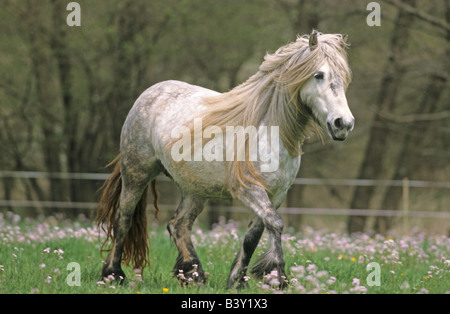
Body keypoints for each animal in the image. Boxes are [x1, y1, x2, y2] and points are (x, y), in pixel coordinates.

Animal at [96, 30, 356, 288]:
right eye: (319, 74)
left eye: (344, 77)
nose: (343, 124)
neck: (269, 129)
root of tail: (150, 92)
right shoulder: (250, 189)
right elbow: (275, 223)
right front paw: (277, 276)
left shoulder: (275, 195)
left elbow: (253, 236)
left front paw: (238, 281)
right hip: (136, 174)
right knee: (123, 219)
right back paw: (113, 274)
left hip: (194, 189)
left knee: (179, 225)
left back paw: (193, 275)